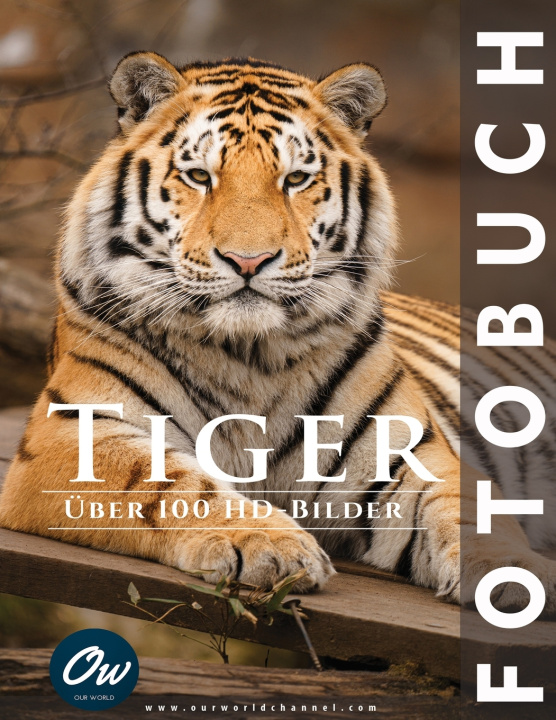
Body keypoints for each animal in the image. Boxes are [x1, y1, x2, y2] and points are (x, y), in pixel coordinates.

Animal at [1, 51, 556, 611]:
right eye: (199, 176)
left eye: (295, 179)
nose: (249, 260)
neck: (250, 354)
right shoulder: (72, 437)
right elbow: (171, 486)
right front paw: (268, 544)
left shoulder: (411, 454)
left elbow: (469, 509)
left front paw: (519, 574)